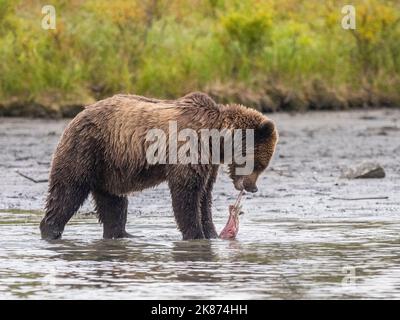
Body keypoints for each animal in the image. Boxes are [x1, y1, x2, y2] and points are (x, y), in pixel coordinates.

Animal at [40, 92, 278, 240]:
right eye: (258, 164)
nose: (252, 187)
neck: (216, 140)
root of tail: (79, 113)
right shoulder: (189, 148)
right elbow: (187, 194)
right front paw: (195, 235)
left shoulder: (209, 163)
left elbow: (205, 197)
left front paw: (211, 234)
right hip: (87, 149)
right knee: (68, 191)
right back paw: (51, 230)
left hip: (110, 168)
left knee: (113, 202)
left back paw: (123, 234)